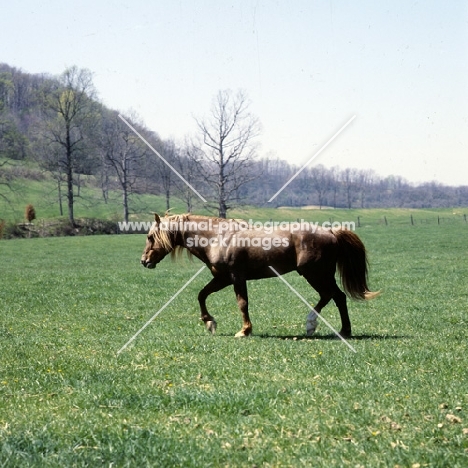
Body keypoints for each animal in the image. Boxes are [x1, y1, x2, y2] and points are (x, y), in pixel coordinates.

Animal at [141, 214, 378, 338]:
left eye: (150, 236)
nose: (144, 261)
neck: (217, 237)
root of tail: (330, 232)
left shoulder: (236, 278)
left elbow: (242, 303)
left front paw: (244, 330)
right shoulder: (222, 279)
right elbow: (201, 295)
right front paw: (209, 322)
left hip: (316, 274)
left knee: (336, 296)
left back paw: (333, 328)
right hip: (316, 275)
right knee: (331, 296)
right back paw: (321, 326)